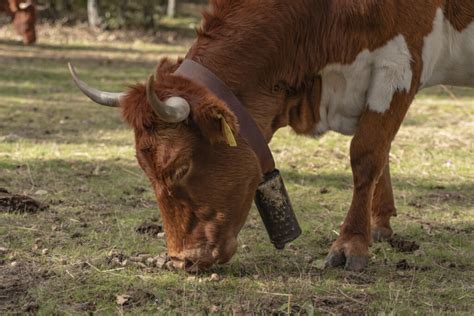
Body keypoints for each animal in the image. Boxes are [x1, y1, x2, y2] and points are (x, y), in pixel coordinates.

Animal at [68, 0, 472, 272]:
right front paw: (380, 224)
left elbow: (367, 154)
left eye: (180, 166)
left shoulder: (399, 63)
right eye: (145, 169)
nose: (182, 260)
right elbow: (381, 152)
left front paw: (352, 244)